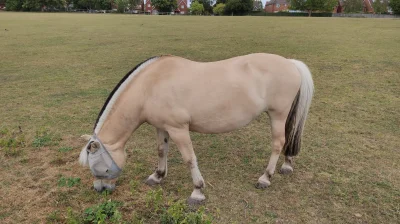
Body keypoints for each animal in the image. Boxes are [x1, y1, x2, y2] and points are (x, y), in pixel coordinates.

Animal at [78, 53, 314, 205]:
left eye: (100, 168)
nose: (100, 189)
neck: (151, 86)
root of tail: (290, 63)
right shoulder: (162, 128)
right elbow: (161, 151)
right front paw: (157, 176)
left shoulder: (178, 129)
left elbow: (189, 159)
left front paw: (197, 191)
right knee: (289, 137)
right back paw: (287, 165)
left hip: (277, 115)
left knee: (278, 143)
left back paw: (265, 178)